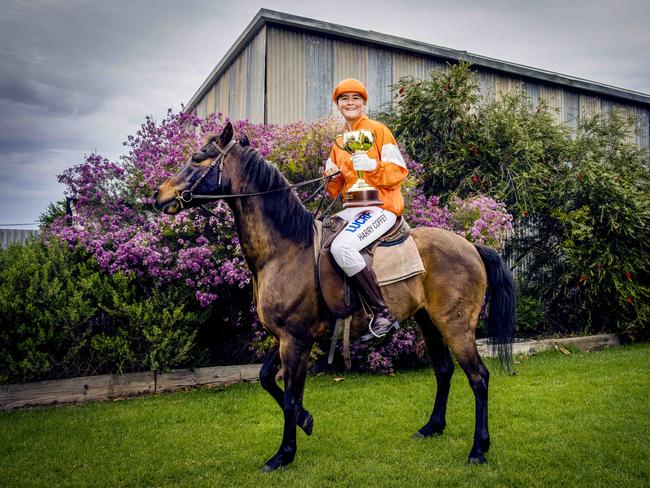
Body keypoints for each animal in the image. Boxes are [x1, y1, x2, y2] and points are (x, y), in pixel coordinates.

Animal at [154, 123, 512, 472]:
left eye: (198, 157)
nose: (158, 195)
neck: (285, 249)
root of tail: (471, 246)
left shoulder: (295, 340)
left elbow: (290, 399)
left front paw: (283, 455)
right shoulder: (283, 337)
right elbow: (266, 379)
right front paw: (306, 421)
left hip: (455, 327)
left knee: (478, 378)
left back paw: (478, 450)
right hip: (429, 322)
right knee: (443, 370)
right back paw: (432, 427)